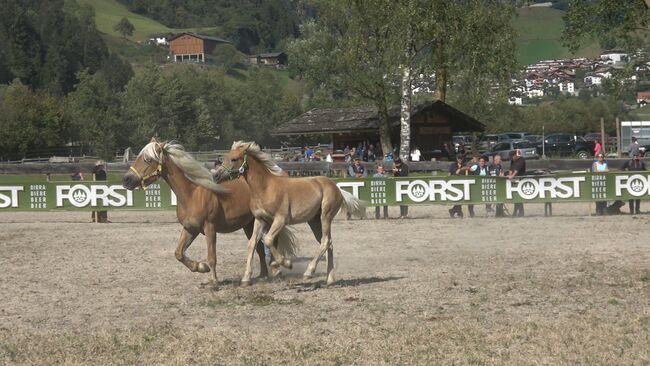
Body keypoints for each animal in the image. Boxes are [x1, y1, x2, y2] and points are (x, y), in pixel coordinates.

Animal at [121, 140, 294, 288]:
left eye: (148, 159)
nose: (126, 180)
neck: (192, 193)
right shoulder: (190, 229)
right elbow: (179, 253)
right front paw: (200, 267)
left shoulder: (210, 228)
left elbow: (212, 257)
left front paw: (213, 282)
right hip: (249, 224)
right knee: (258, 248)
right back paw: (261, 275)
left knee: (271, 243)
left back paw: (276, 272)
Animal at [214, 140, 362, 286]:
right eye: (225, 157)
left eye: (234, 159)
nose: (216, 175)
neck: (265, 188)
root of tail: (337, 188)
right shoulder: (260, 220)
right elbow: (252, 244)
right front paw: (246, 278)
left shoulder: (280, 220)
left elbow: (268, 239)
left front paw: (285, 263)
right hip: (314, 221)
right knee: (328, 243)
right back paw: (329, 279)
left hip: (325, 216)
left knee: (325, 242)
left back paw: (309, 273)